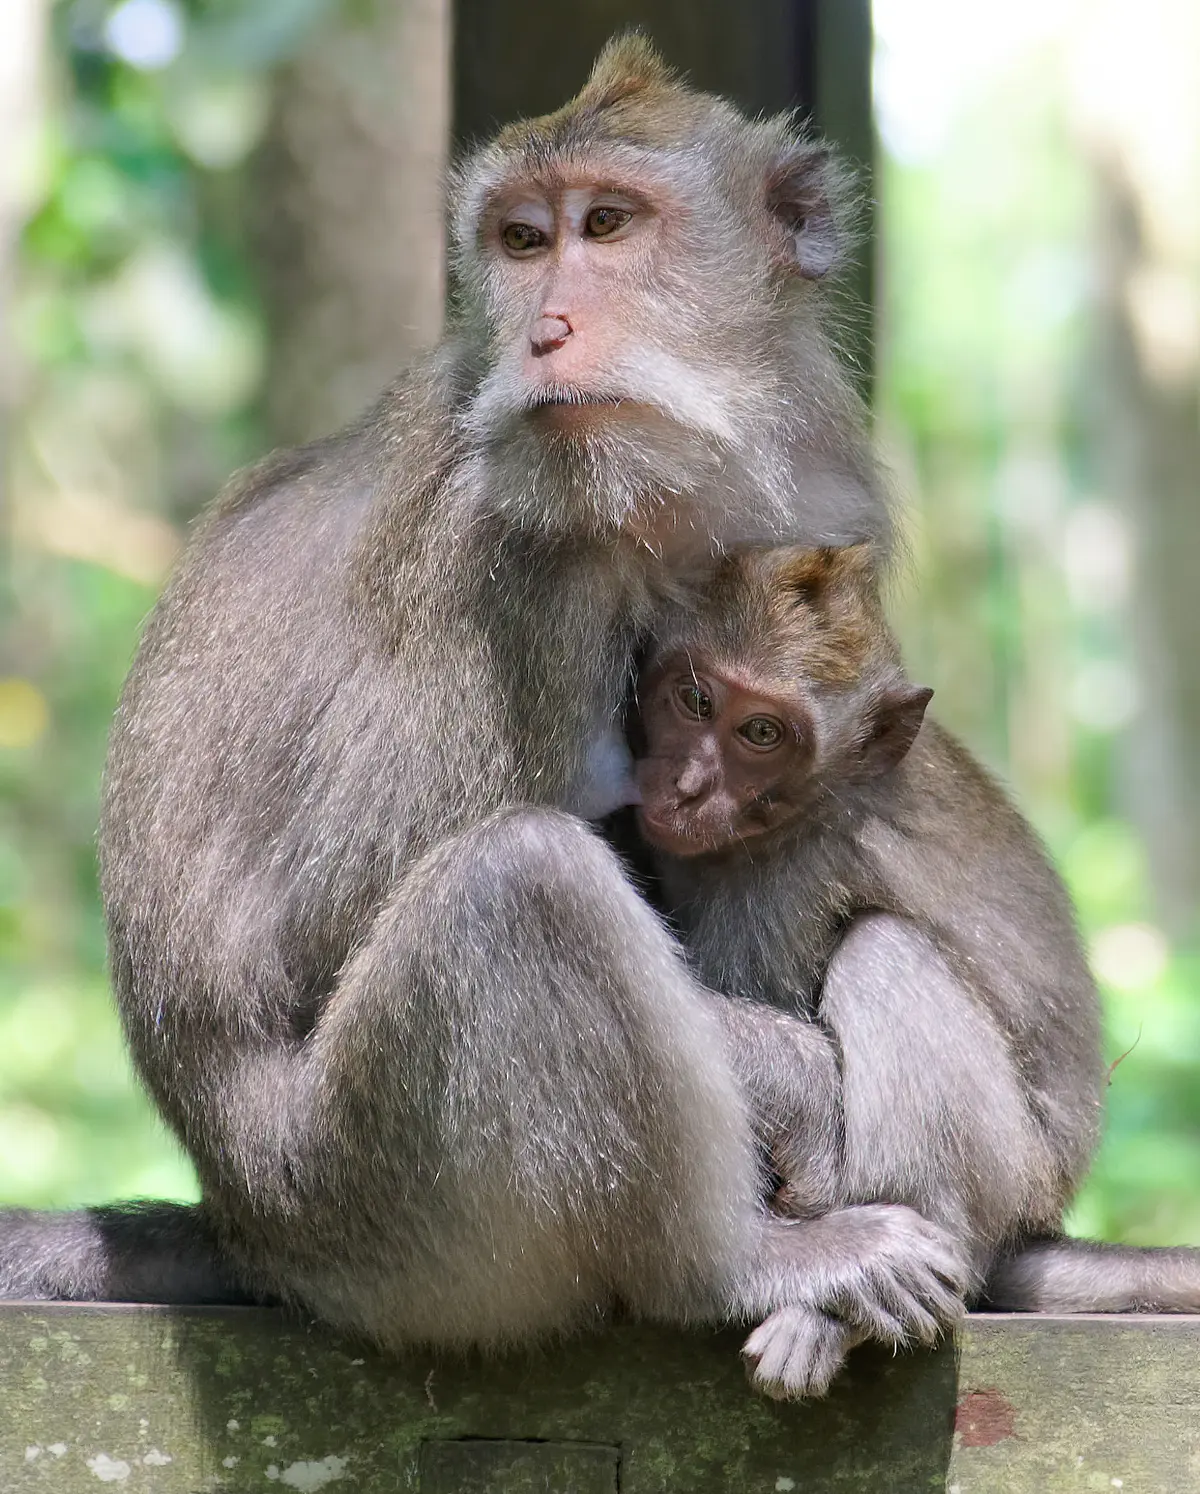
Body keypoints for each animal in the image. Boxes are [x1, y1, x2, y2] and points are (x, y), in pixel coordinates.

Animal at [0, 39, 971, 1401]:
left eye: (606, 224)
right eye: (521, 241)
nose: (547, 329)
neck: (676, 483)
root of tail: (248, 1225)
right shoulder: (500, 557)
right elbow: (329, 916)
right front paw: (799, 1082)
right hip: (381, 1214)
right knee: (518, 887)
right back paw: (739, 1262)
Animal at [631, 541, 1200, 1391]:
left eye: (761, 732)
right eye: (696, 699)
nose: (690, 785)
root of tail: (1030, 1225)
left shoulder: (787, 875)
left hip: (1008, 1172)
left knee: (883, 952)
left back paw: (855, 1301)